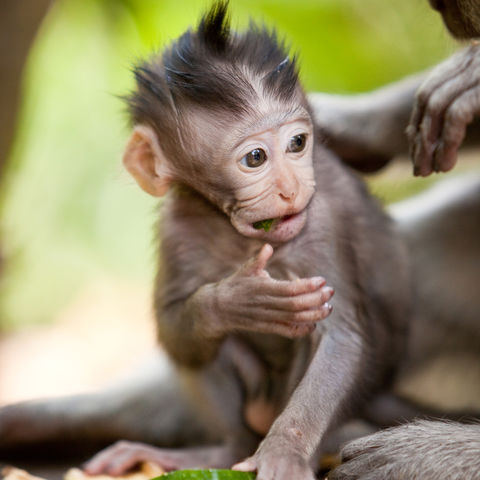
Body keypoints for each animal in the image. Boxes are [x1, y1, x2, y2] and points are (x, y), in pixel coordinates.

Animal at [0, 3, 412, 480]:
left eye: (297, 143)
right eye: (255, 157)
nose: (291, 189)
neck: (236, 231)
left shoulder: (322, 220)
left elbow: (340, 335)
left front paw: (285, 453)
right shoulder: (177, 228)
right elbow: (173, 325)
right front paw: (239, 301)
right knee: (203, 355)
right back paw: (215, 451)